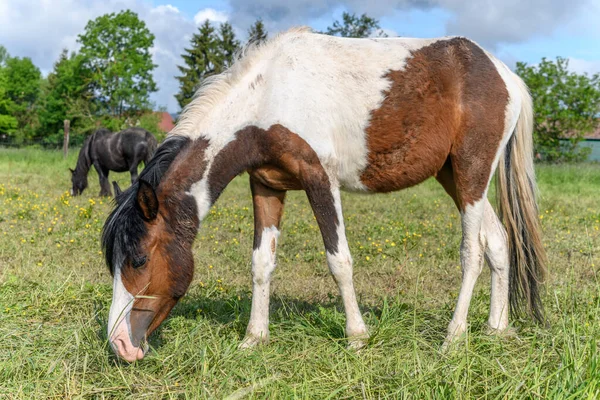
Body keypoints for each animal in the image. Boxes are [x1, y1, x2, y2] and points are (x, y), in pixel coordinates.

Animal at [103, 26, 548, 360]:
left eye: (140, 259)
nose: (120, 345)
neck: (269, 95)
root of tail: (504, 75)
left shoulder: (320, 180)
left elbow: (339, 261)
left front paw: (357, 337)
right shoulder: (266, 185)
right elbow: (261, 263)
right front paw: (254, 338)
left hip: (472, 173)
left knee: (472, 251)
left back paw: (454, 337)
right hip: (455, 177)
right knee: (499, 241)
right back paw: (496, 329)